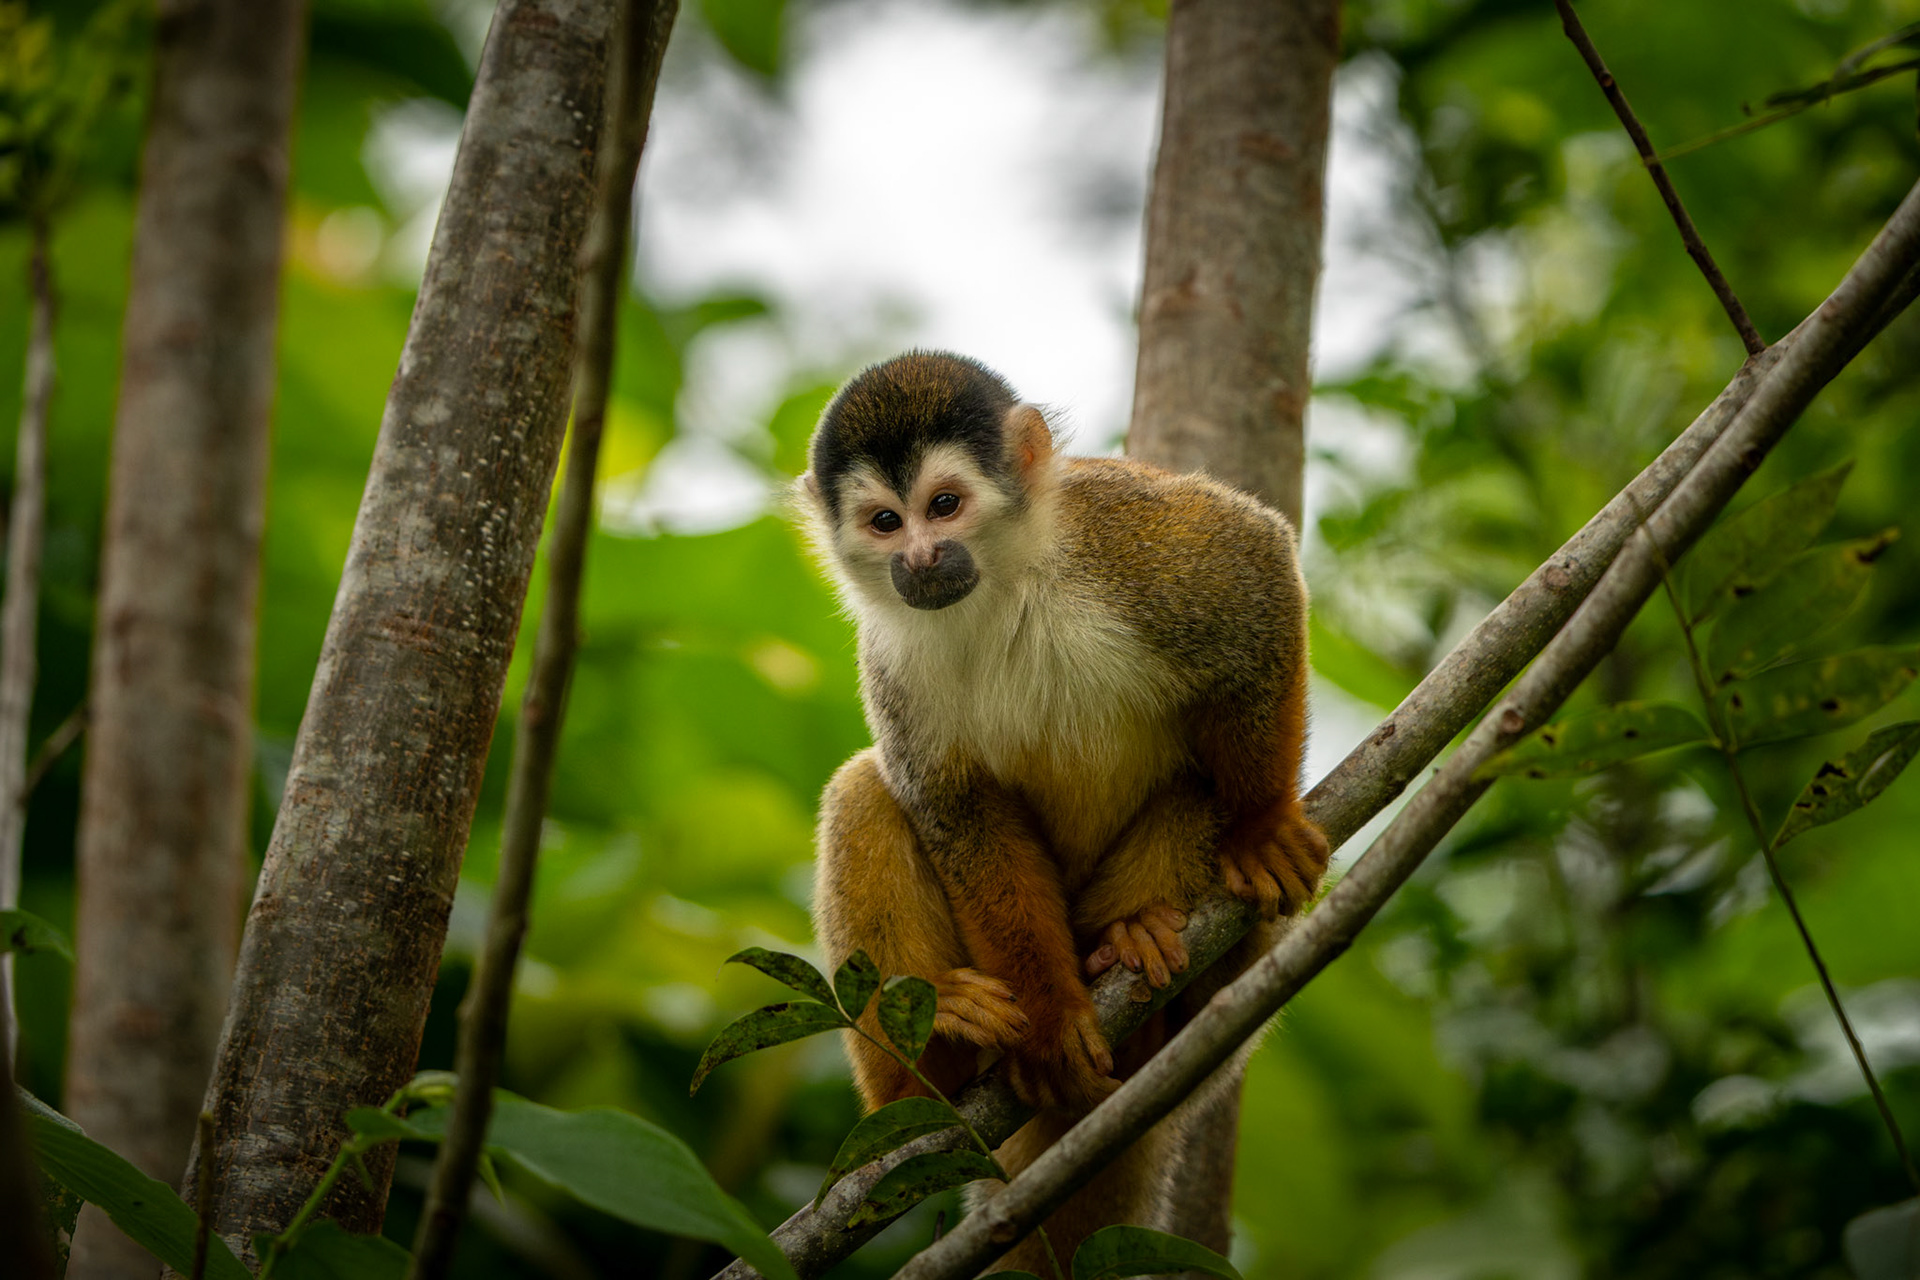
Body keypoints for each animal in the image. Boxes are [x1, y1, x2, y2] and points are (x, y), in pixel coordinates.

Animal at [799, 351, 1327, 1269]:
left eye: (944, 505)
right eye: (884, 522)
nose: (923, 557)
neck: (1001, 586)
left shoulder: (1115, 534)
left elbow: (1253, 566)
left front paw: (1262, 823)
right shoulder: (889, 655)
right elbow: (956, 808)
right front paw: (1047, 1017)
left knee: (1200, 785)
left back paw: (1146, 954)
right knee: (866, 789)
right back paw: (928, 1068)